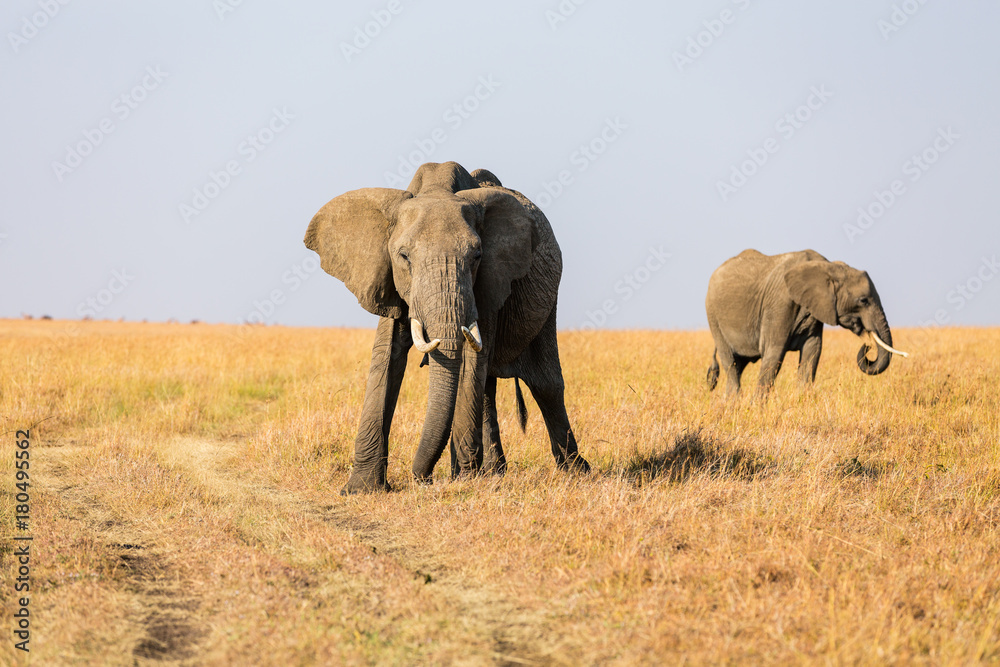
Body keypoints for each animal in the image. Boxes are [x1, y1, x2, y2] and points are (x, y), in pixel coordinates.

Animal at [304, 161, 590, 494]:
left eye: (477, 256)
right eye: (404, 257)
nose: (423, 478)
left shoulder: (489, 282)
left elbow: (471, 360)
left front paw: (464, 481)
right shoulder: (385, 277)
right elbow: (385, 359)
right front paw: (361, 489)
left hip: (549, 296)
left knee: (545, 383)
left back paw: (576, 472)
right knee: (489, 388)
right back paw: (494, 472)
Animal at [705, 249, 908, 394]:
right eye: (863, 301)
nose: (867, 347)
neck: (828, 267)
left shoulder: (817, 309)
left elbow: (812, 353)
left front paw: (801, 401)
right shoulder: (779, 305)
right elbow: (773, 353)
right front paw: (757, 409)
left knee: (738, 366)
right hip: (713, 317)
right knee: (730, 364)